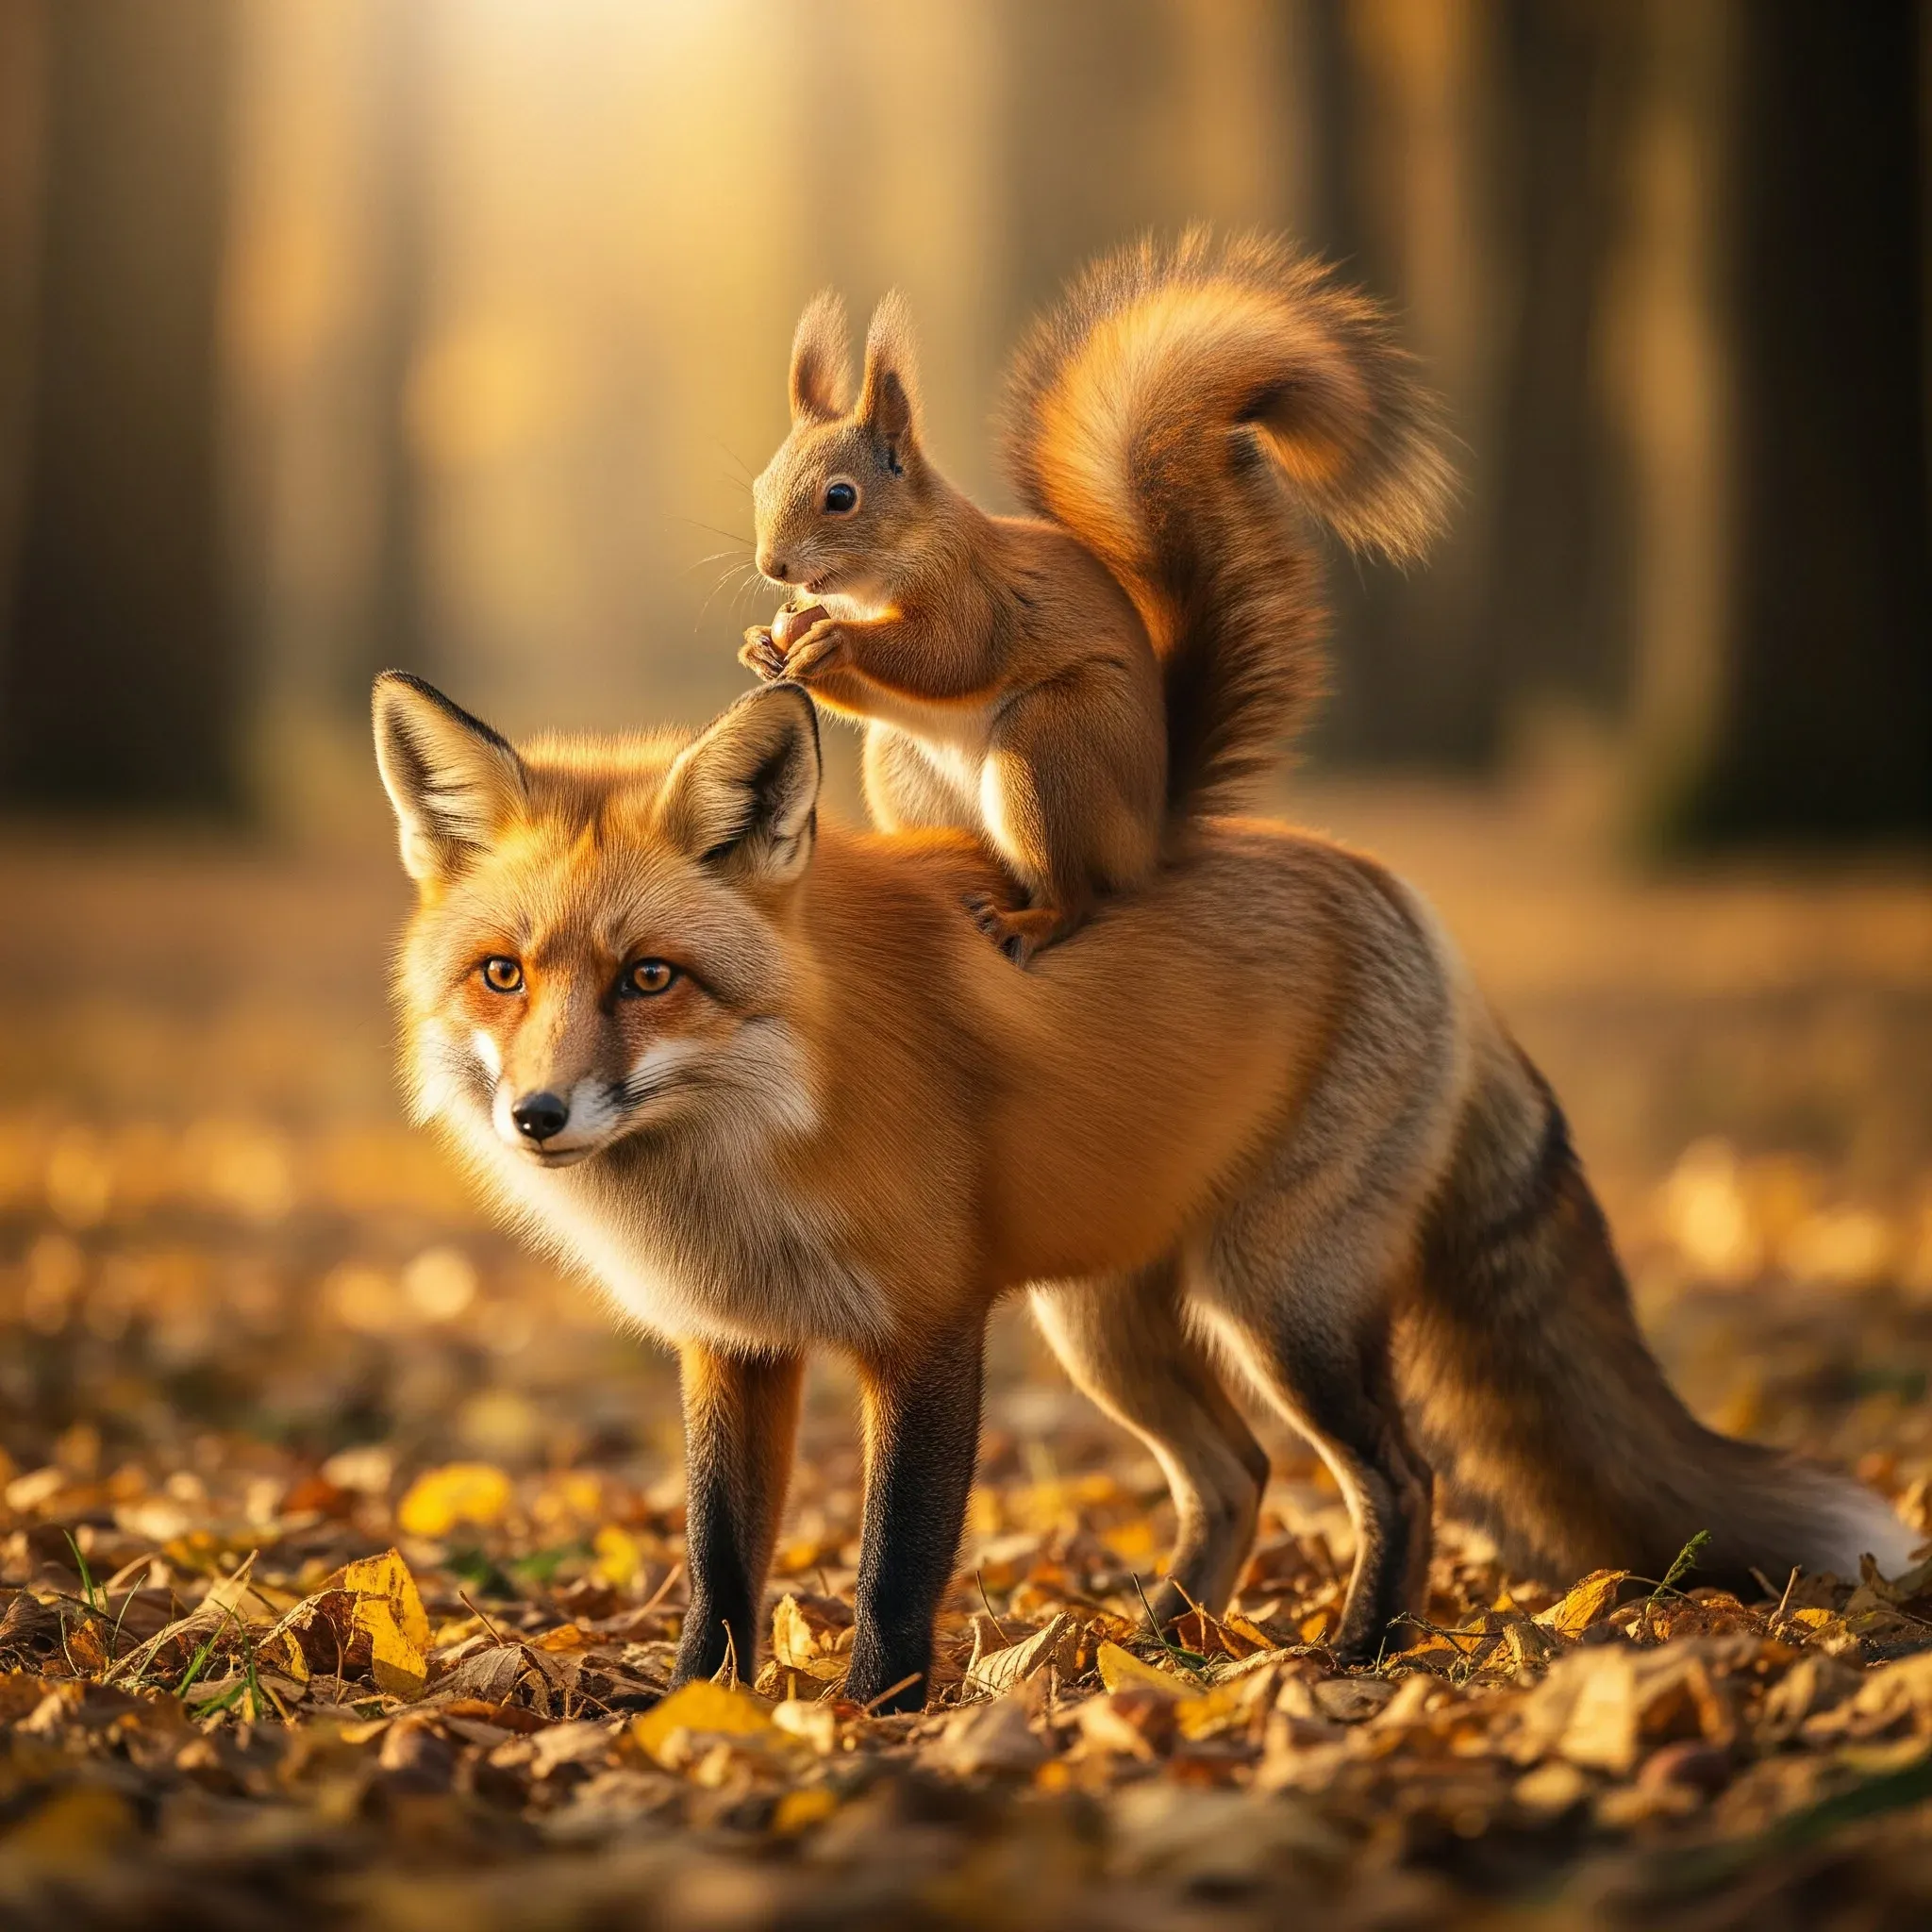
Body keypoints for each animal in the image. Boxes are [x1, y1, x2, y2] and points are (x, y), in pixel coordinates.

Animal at [741, 229, 1453, 963]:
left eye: (841, 497)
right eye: (761, 484)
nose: (773, 565)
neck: (871, 583)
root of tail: (1147, 841)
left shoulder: (971, 586)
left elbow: (952, 655)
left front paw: (834, 641)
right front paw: (762, 646)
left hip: (1051, 749)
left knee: (1076, 895)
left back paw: (1028, 921)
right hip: (904, 767)